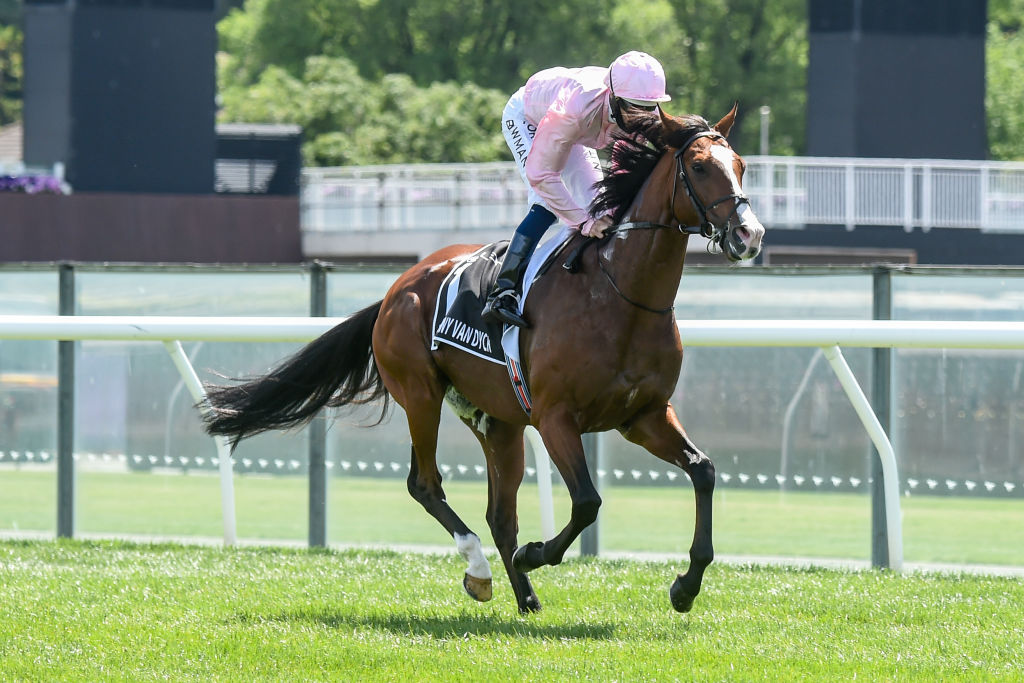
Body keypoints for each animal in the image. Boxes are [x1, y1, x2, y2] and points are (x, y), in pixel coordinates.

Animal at [203, 107, 765, 614]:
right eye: (699, 167)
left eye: (740, 164)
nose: (750, 234)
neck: (620, 296)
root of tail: (397, 288)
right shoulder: (556, 418)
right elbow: (587, 502)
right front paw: (537, 553)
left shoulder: (643, 415)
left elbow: (703, 471)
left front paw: (685, 586)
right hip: (422, 395)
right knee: (426, 484)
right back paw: (482, 569)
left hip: (496, 421)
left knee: (500, 513)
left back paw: (525, 597)